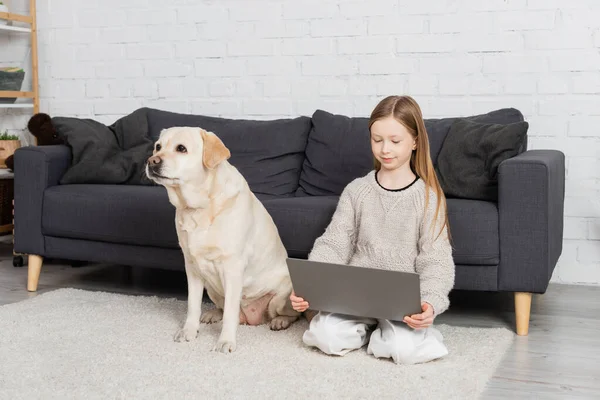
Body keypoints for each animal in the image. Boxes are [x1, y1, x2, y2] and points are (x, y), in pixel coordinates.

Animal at [145, 126, 300, 354]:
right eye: (158, 147)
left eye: (181, 148)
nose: (151, 161)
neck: (199, 207)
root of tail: (251, 318)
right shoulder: (192, 267)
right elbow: (192, 304)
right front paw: (189, 331)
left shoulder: (232, 267)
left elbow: (230, 314)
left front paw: (225, 341)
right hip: (212, 288)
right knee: (222, 307)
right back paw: (212, 314)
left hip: (279, 298)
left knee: (291, 314)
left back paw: (280, 321)